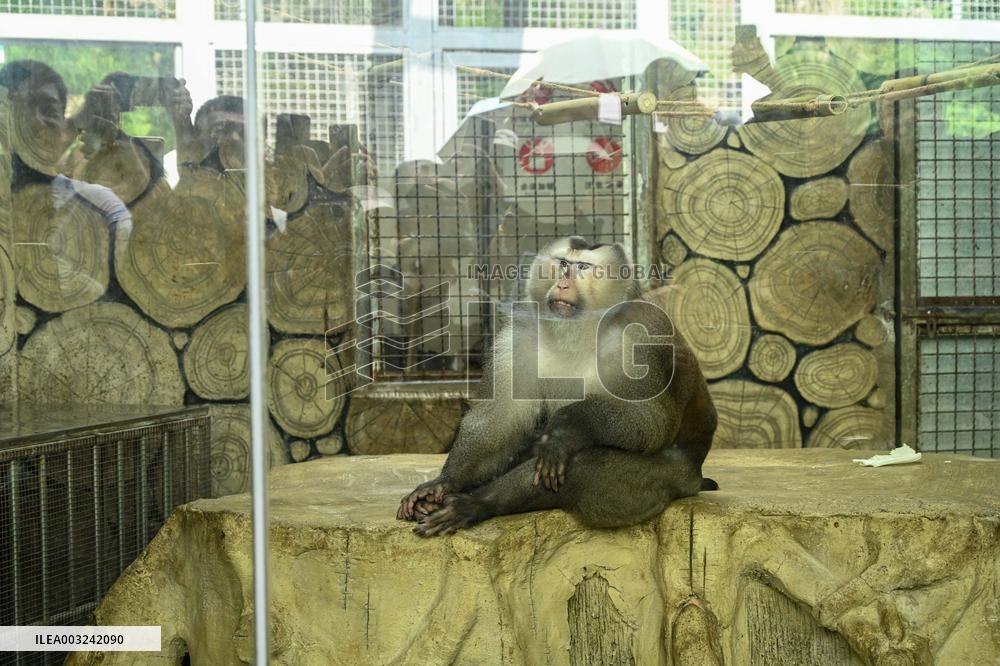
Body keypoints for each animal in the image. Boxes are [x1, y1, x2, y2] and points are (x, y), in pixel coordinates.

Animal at [396, 236, 718, 536]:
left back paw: (480, 503)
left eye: (583, 267)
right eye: (563, 264)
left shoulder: (642, 337)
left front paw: (568, 424)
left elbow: (652, 422)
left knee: (586, 464)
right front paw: (443, 483)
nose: (563, 284)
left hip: (671, 478)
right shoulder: (519, 337)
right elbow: (499, 419)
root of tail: (695, 477)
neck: (581, 332)